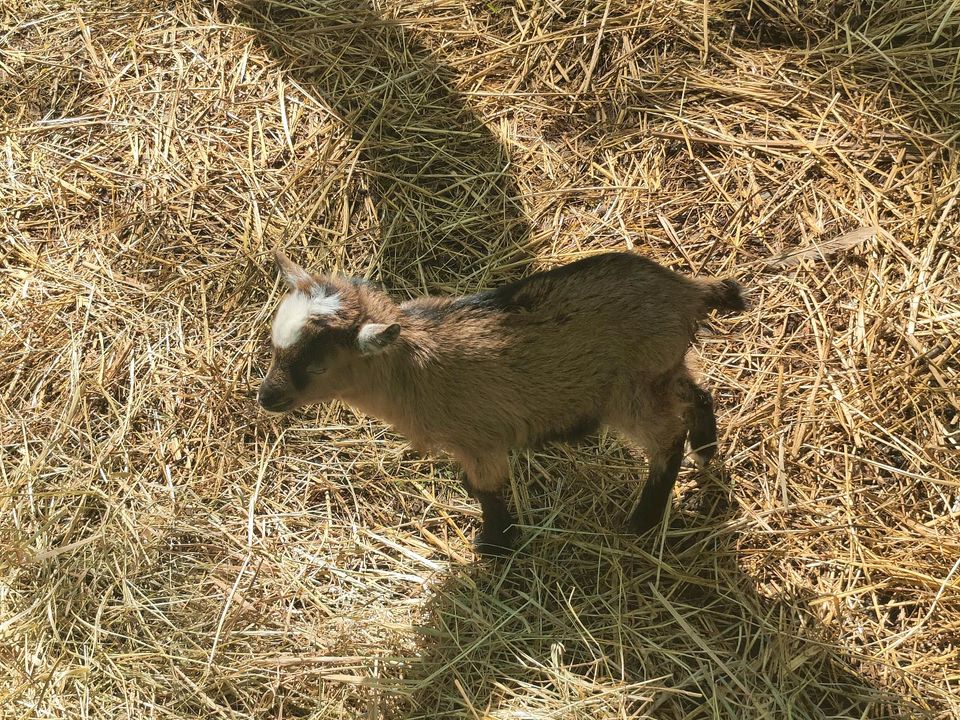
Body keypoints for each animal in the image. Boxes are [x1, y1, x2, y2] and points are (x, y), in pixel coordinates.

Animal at [258, 250, 748, 556]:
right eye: (275, 348)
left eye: (317, 366)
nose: (266, 397)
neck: (412, 368)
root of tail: (686, 291)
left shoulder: (480, 441)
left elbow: (487, 490)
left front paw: (494, 545)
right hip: (663, 367)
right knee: (698, 394)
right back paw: (706, 450)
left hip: (630, 391)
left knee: (667, 437)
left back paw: (642, 520)